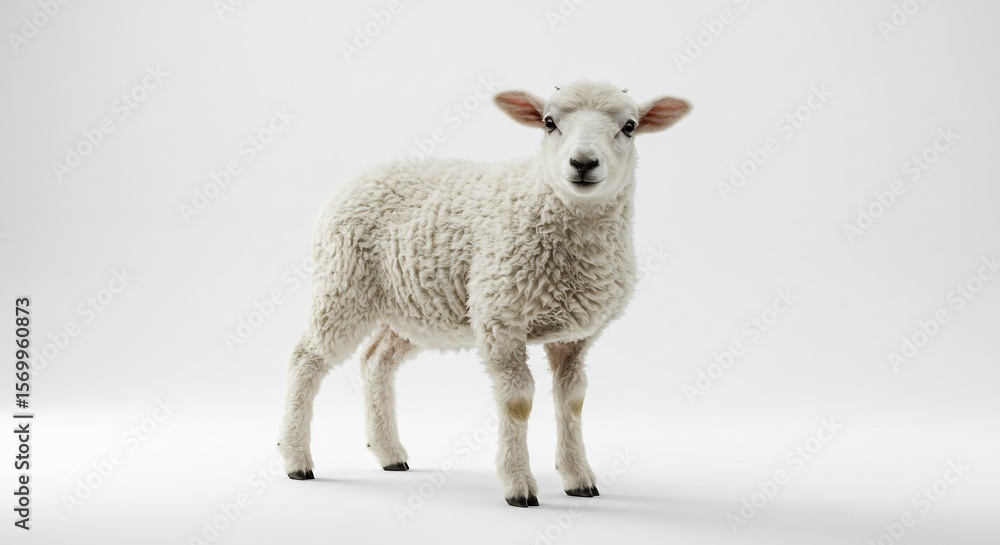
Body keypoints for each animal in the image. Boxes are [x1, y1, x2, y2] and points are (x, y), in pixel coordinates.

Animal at [277, 80, 691, 507]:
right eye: (549, 122)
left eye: (629, 126)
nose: (583, 163)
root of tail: (359, 177)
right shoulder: (500, 318)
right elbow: (518, 400)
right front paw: (518, 485)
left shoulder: (575, 336)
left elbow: (572, 399)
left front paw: (578, 478)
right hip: (342, 284)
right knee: (306, 358)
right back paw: (296, 459)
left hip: (414, 309)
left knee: (376, 360)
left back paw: (389, 453)